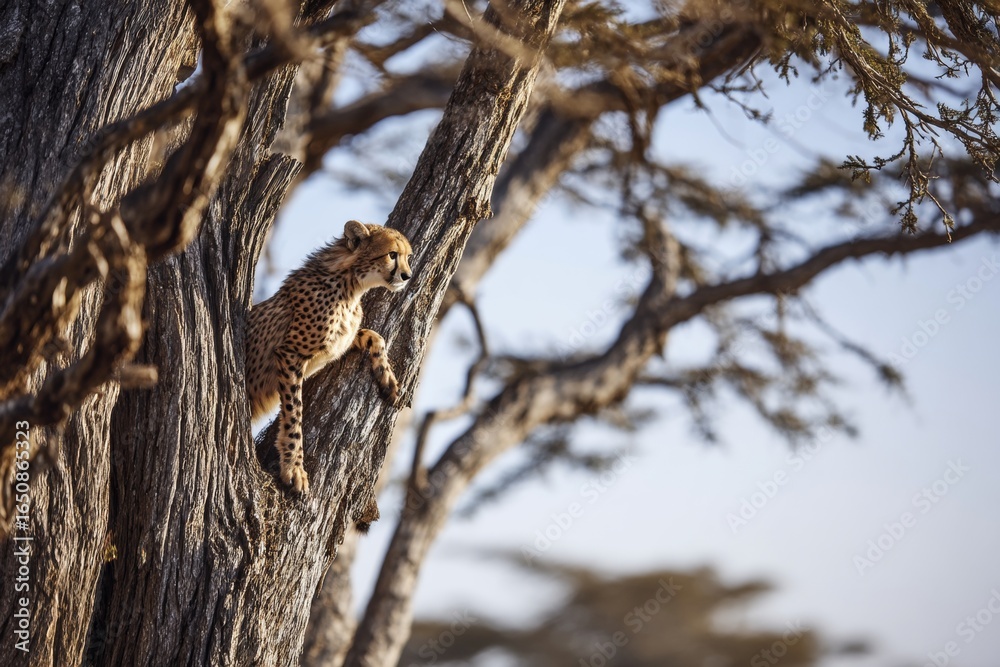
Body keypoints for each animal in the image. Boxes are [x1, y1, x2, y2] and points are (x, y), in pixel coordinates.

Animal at [246, 220, 412, 493]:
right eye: (392, 254)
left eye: (408, 257)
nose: (407, 276)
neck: (350, 283)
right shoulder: (290, 354)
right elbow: (294, 416)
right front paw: (294, 468)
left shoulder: (340, 342)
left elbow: (375, 335)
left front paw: (388, 379)